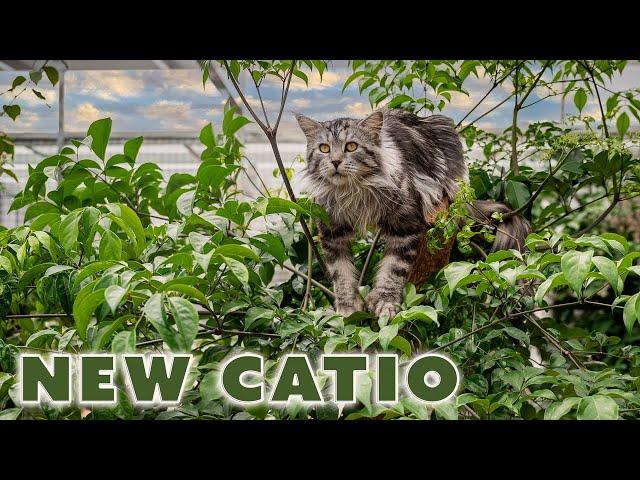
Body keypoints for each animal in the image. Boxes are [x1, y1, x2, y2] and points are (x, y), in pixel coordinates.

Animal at [296, 109, 528, 318]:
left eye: (351, 146)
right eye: (324, 148)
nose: (335, 161)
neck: (354, 193)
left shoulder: (405, 226)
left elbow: (393, 269)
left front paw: (385, 302)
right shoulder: (332, 233)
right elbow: (341, 274)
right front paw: (347, 308)